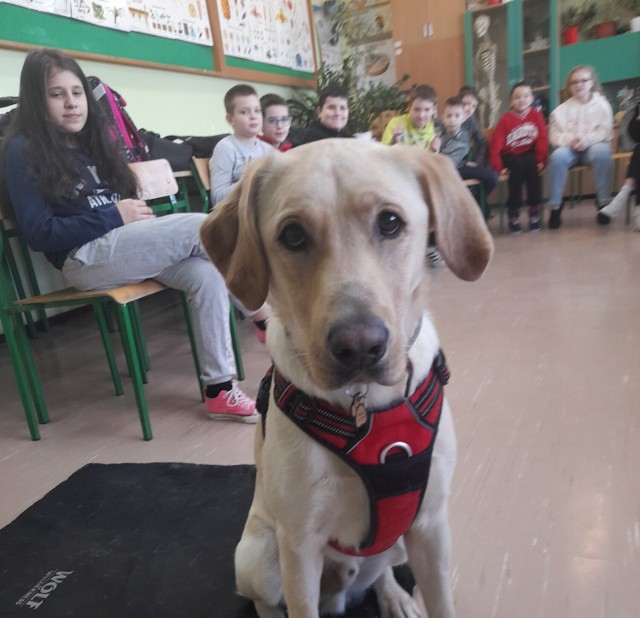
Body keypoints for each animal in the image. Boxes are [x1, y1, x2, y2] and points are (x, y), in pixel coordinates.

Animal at [202, 140, 492, 616]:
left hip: (398, 544)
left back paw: (394, 595)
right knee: (263, 599)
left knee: (382, 570)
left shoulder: (431, 525)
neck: (366, 402)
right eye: (293, 235)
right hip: (259, 554)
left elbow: (442, 604)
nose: (359, 346)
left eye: (390, 222)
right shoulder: (299, 546)